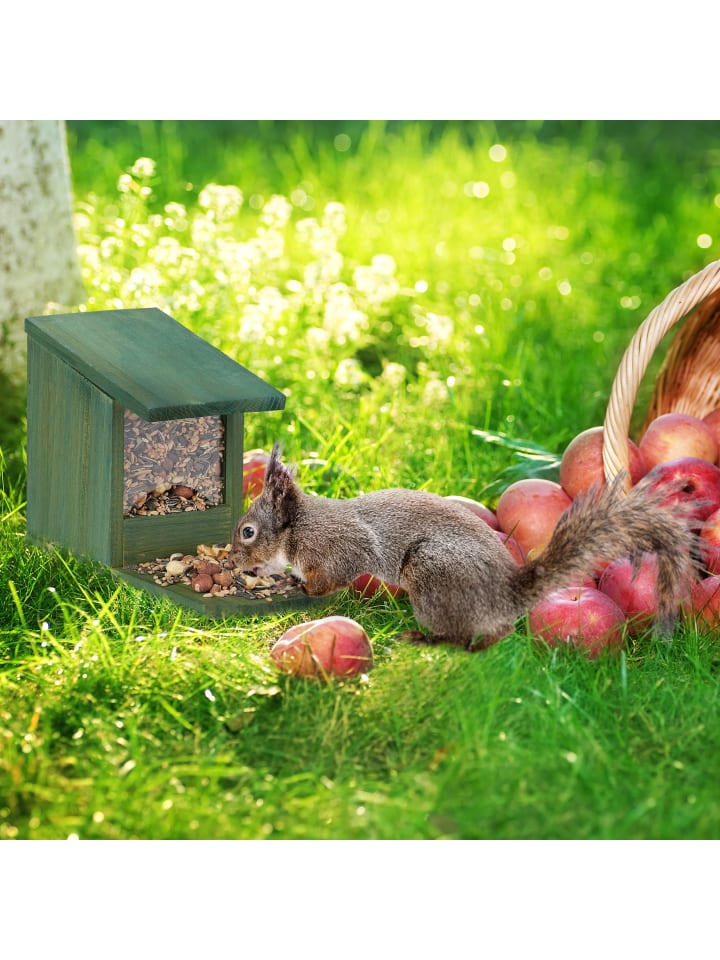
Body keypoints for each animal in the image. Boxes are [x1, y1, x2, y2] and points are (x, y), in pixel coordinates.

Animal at [232, 444, 697, 650]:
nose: (234, 561)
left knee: (467, 633)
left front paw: (305, 588)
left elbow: (333, 576)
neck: (299, 526)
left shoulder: (339, 546)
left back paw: (430, 639)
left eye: (248, 532)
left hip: (432, 572)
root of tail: (506, 594)